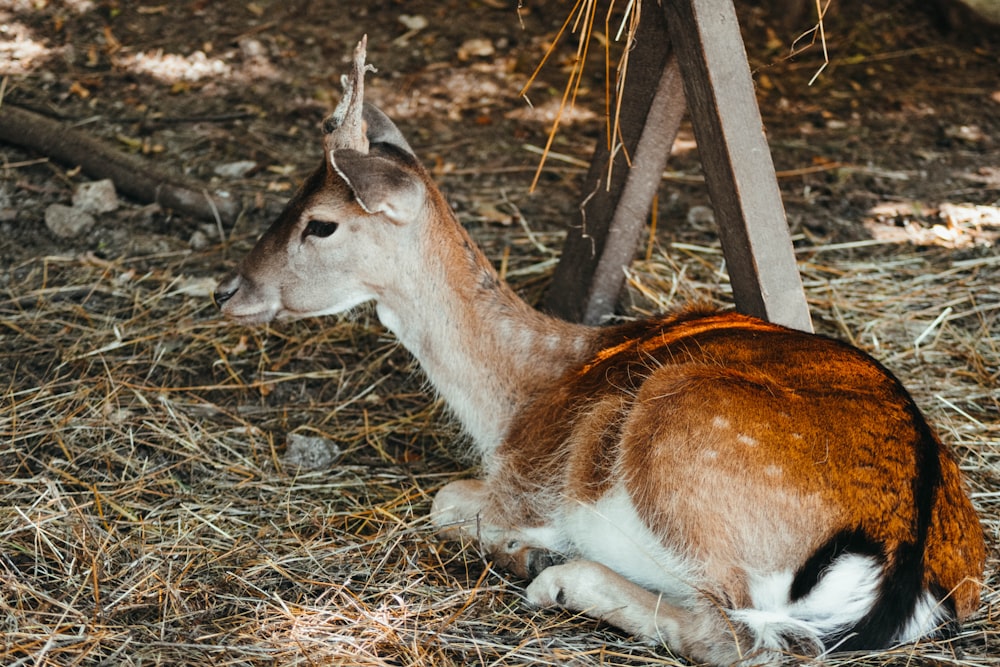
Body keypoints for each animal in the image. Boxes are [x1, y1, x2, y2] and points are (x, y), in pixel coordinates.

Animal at [215, 39, 988, 664]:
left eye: (320, 223)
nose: (228, 289)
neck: (517, 398)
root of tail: (903, 569)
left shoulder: (522, 482)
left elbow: (444, 500)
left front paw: (525, 547)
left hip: (680, 443)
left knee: (736, 636)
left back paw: (555, 572)